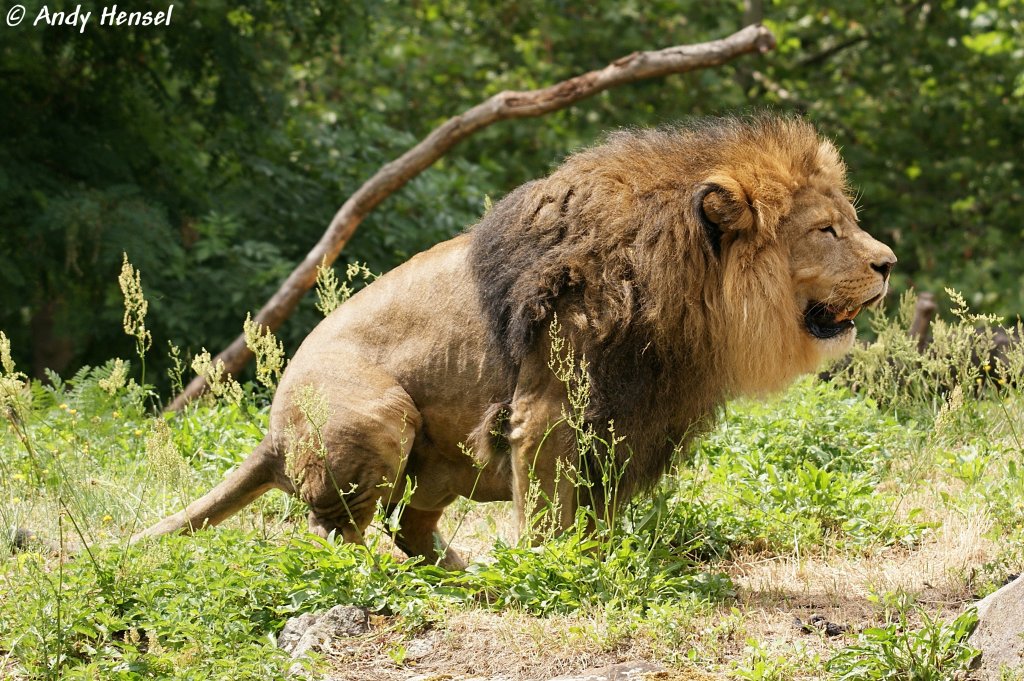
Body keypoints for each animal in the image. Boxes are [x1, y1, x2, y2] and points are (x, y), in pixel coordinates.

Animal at [136, 115, 897, 569]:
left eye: (847, 223)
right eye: (826, 231)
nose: (888, 263)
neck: (685, 287)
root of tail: (270, 432)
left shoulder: (630, 420)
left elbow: (599, 512)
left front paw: (597, 562)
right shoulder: (549, 410)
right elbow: (549, 511)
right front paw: (547, 569)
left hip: (445, 465)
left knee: (409, 528)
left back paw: (458, 572)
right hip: (379, 415)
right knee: (331, 535)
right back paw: (383, 574)